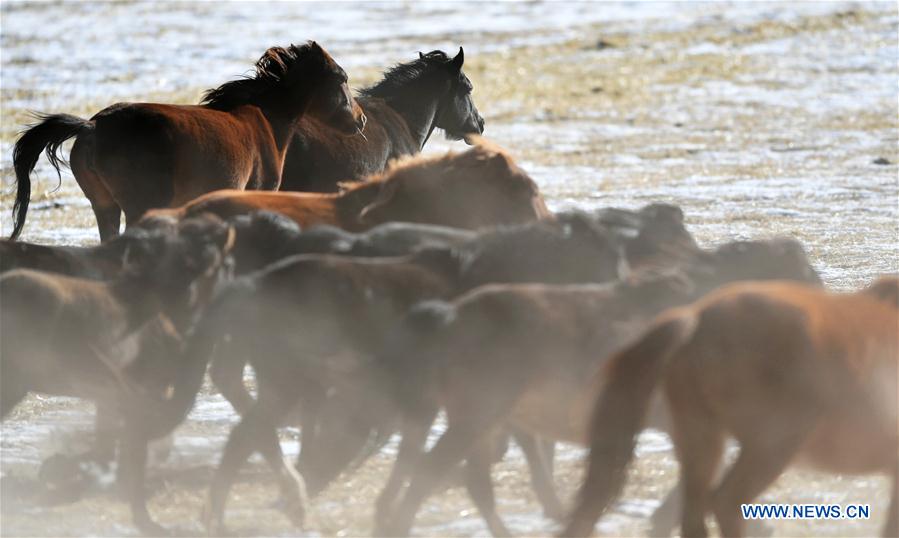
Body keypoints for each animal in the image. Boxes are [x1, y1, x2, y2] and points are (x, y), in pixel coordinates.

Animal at [11, 41, 365, 242]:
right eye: (342, 79)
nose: (360, 120)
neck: (264, 119)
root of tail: (93, 126)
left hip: (104, 206)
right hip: (140, 207)